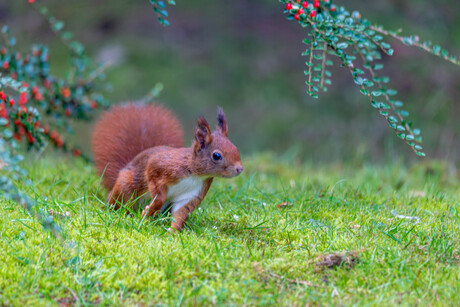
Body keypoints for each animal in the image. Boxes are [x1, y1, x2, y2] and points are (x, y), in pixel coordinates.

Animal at [90, 103, 244, 231]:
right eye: (216, 156)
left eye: (235, 147)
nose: (240, 169)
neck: (195, 175)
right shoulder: (158, 168)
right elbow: (158, 195)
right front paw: (148, 210)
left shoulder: (191, 194)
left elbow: (180, 213)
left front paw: (173, 231)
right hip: (125, 186)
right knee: (118, 203)